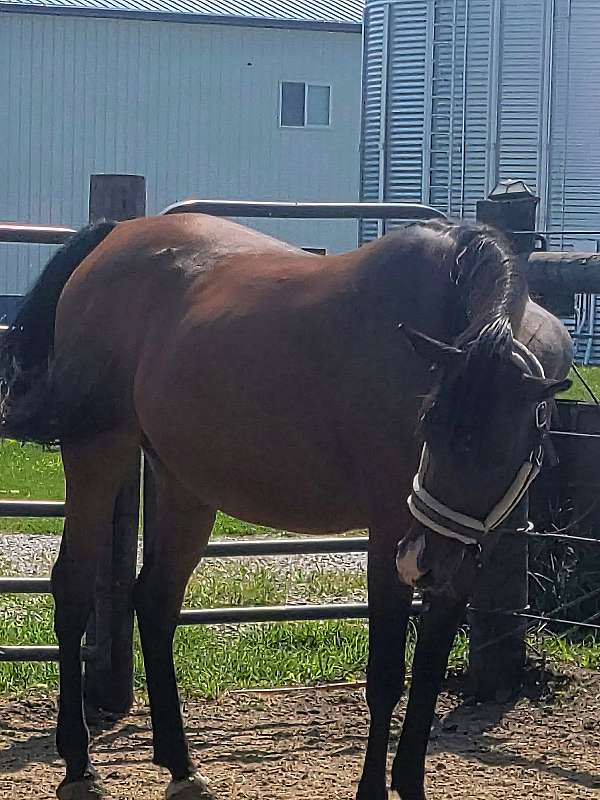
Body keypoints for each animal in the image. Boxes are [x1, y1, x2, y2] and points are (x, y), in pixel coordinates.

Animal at [0, 212, 572, 800]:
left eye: (503, 446)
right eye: (428, 423)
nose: (423, 562)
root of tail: (116, 236)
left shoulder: (464, 556)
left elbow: (430, 674)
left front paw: (410, 783)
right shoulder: (389, 532)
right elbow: (386, 678)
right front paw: (373, 788)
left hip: (186, 484)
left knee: (154, 601)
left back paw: (181, 765)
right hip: (99, 450)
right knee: (72, 587)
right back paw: (79, 763)